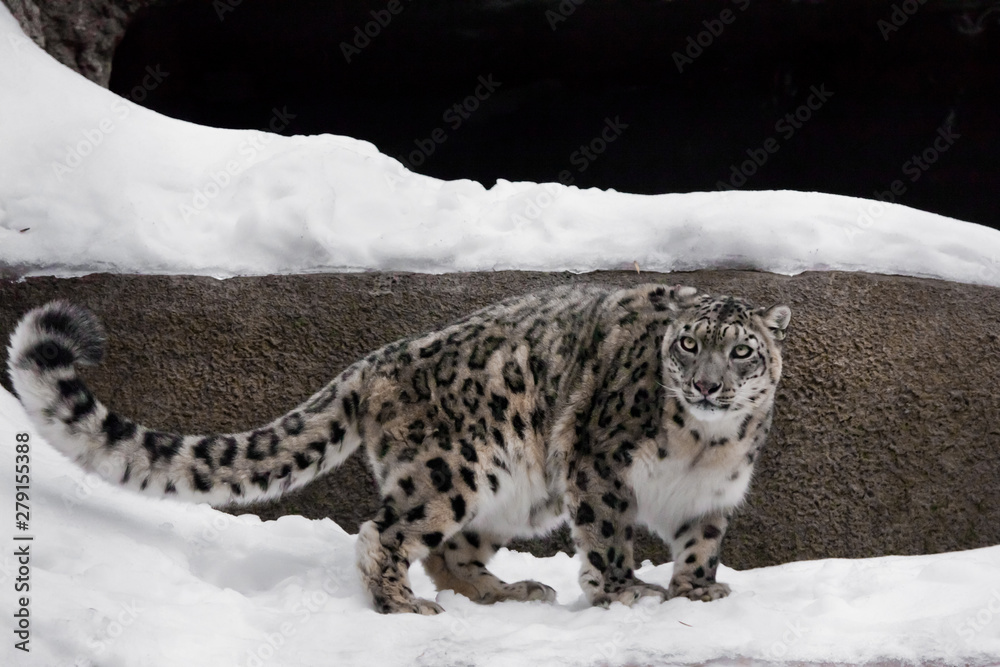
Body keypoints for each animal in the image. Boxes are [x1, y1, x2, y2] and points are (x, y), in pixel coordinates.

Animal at [7, 283, 790, 614]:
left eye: (742, 350)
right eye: (688, 344)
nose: (707, 384)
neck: (705, 445)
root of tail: (379, 358)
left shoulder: (712, 497)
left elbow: (700, 542)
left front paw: (698, 589)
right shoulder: (600, 466)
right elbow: (607, 535)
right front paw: (625, 592)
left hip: (515, 491)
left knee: (453, 550)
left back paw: (507, 590)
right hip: (457, 468)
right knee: (384, 531)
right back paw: (401, 603)